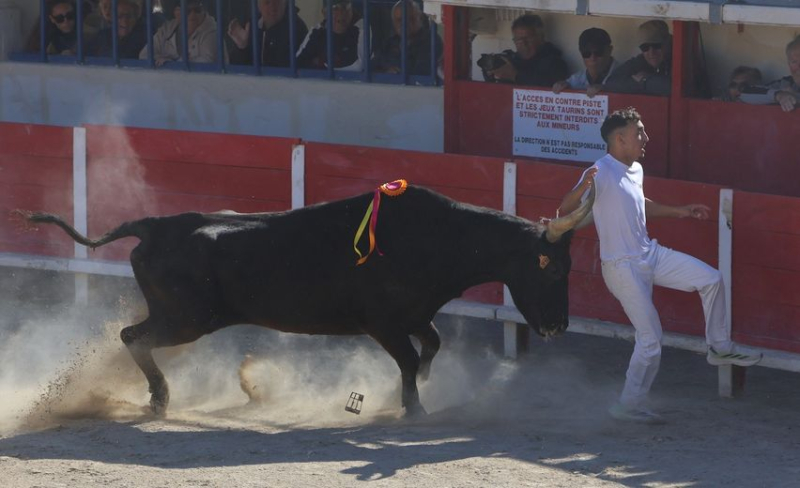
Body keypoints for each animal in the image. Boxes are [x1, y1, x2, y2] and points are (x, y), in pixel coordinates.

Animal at [21, 183, 592, 416]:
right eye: (553, 268)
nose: (559, 327)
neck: (439, 237)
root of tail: (156, 225)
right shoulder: (383, 324)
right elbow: (410, 360)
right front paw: (413, 408)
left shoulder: (415, 316)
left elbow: (429, 349)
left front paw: (417, 391)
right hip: (187, 320)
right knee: (131, 337)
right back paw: (160, 399)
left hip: (180, 318)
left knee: (132, 337)